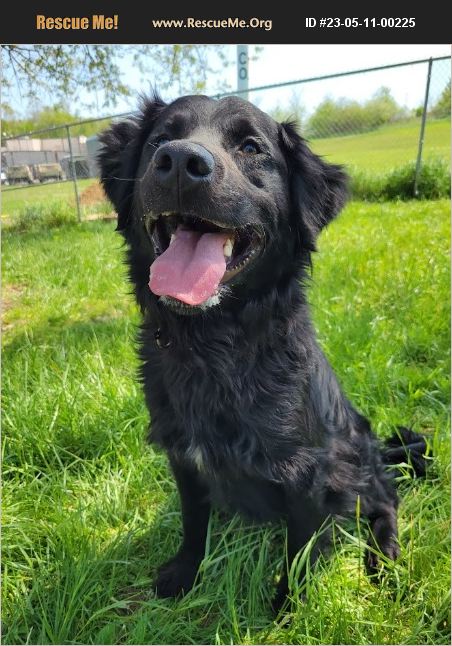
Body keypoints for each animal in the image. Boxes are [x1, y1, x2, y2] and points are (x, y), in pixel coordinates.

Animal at [99, 95, 428, 612]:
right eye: (159, 140)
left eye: (251, 147)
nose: (180, 161)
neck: (213, 345)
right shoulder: (183, 458)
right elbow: (193, 524)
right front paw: (185, 574)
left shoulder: (311, 476)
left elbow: (299, 552)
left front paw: (288, 607)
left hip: (356, 463)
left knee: (386, 501)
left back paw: (385, 560)